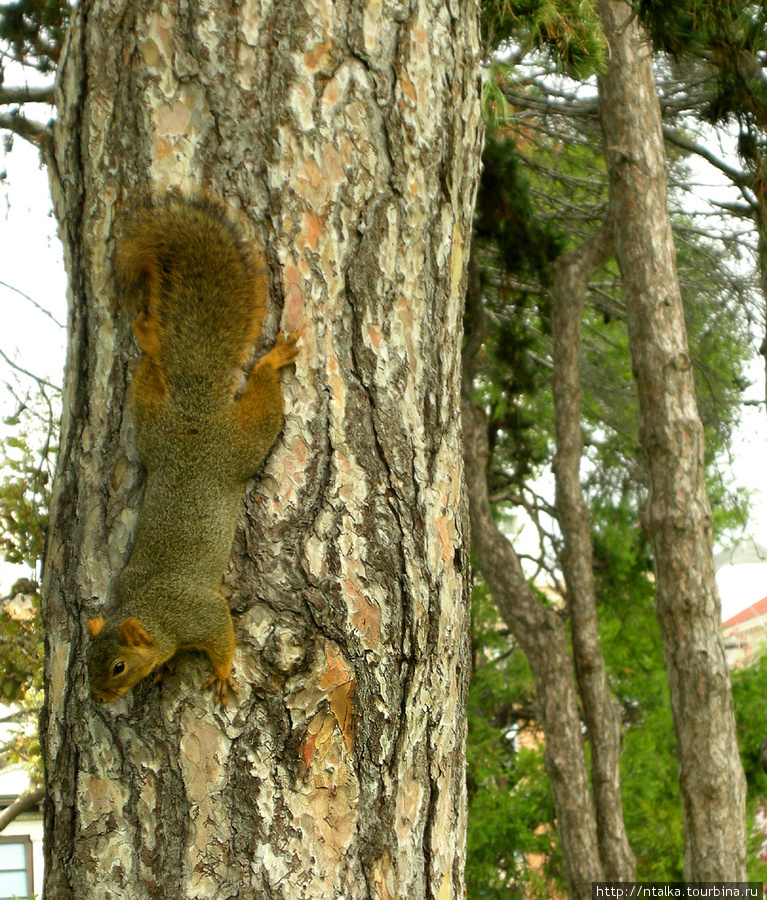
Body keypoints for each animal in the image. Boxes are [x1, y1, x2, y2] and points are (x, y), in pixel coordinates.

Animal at [85, 195, 298, 704]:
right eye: (87, 663)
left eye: (118, 666)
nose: (99, 699)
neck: (152, 609)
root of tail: (194, 412)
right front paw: (164, 668)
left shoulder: (199, 613)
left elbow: (221, 636)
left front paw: (220, 675)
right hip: (153, 430)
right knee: (149, 376)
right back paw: (147, 334)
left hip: (239, 445)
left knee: (262, 398)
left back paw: (271, 360)